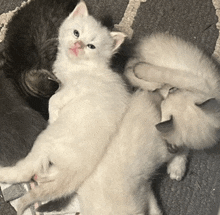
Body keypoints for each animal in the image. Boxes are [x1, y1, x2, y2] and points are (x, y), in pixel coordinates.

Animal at [0, 1, 129, 213]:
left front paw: (53, 114)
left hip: (45, 141)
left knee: (26, 170)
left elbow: (54, 99)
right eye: (76, 33)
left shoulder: (72, 88)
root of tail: (78, 170)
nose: (78, 45)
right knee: (45, 177)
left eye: (91, 46)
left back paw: (5, 174)